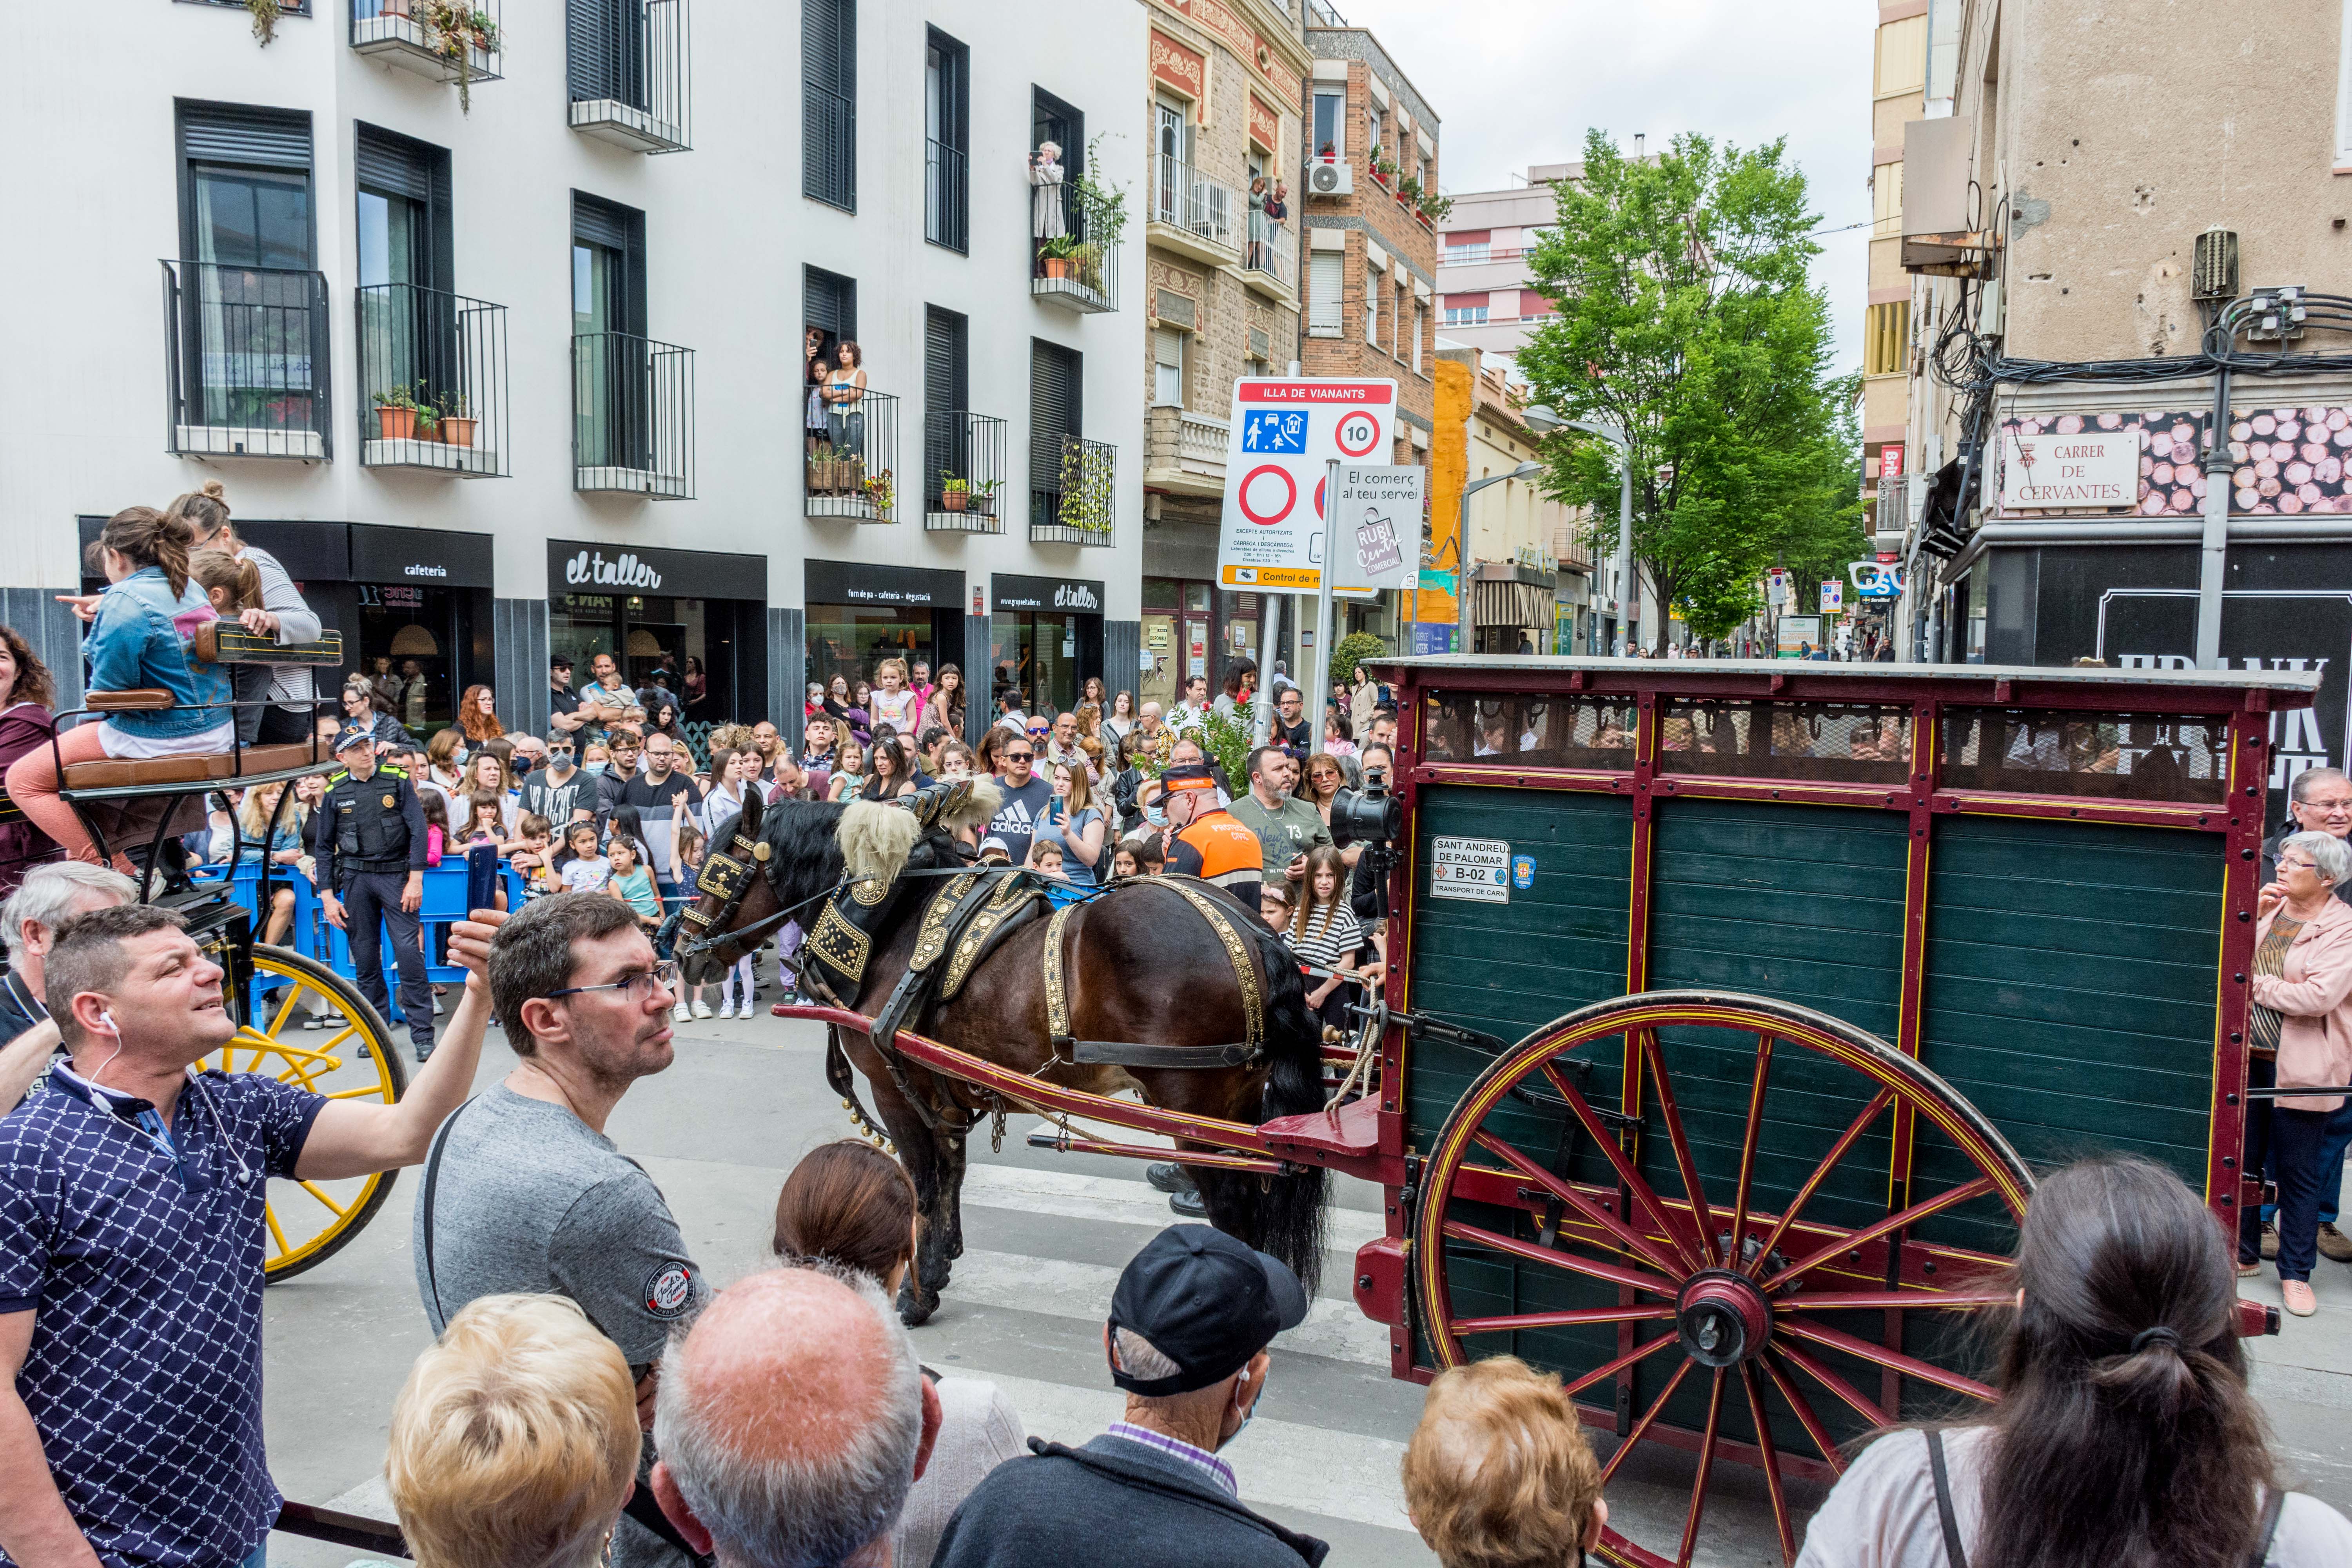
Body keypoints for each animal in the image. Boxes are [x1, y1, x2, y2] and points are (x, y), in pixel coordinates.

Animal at [682, 789, 1336, 1316]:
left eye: (718, 869)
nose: (681, 948)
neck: (893, 917)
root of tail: (1252, 933)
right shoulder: (939, 1090)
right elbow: (951, 1176)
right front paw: (942, 1263)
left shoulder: (894, 1086)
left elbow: (923, 1183)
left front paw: (917, 1294)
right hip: (1237, 1103)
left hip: (1193, 1107)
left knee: (1233, 1208)